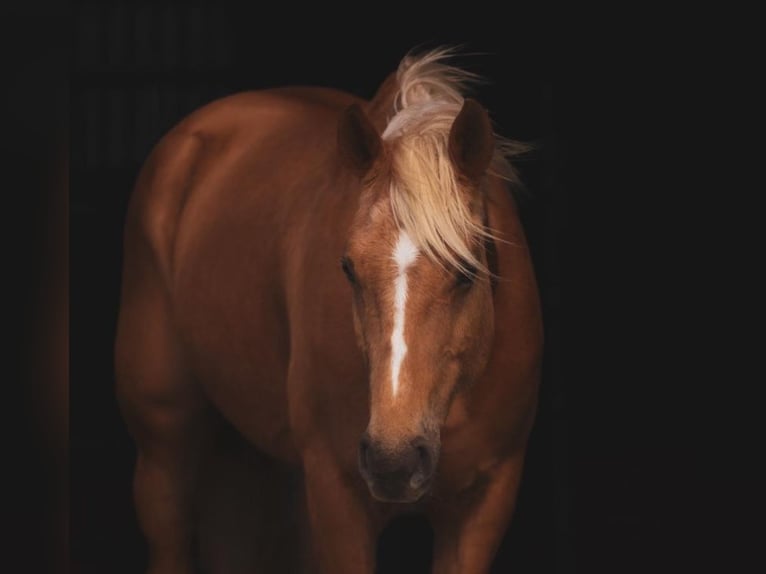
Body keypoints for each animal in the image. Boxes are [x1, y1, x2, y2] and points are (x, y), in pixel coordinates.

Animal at [115, 47, 543, 573]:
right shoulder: (337, 493)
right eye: (348, 268)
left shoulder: (485, 503)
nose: (394, 461)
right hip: (164, 450)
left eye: (467, 271)